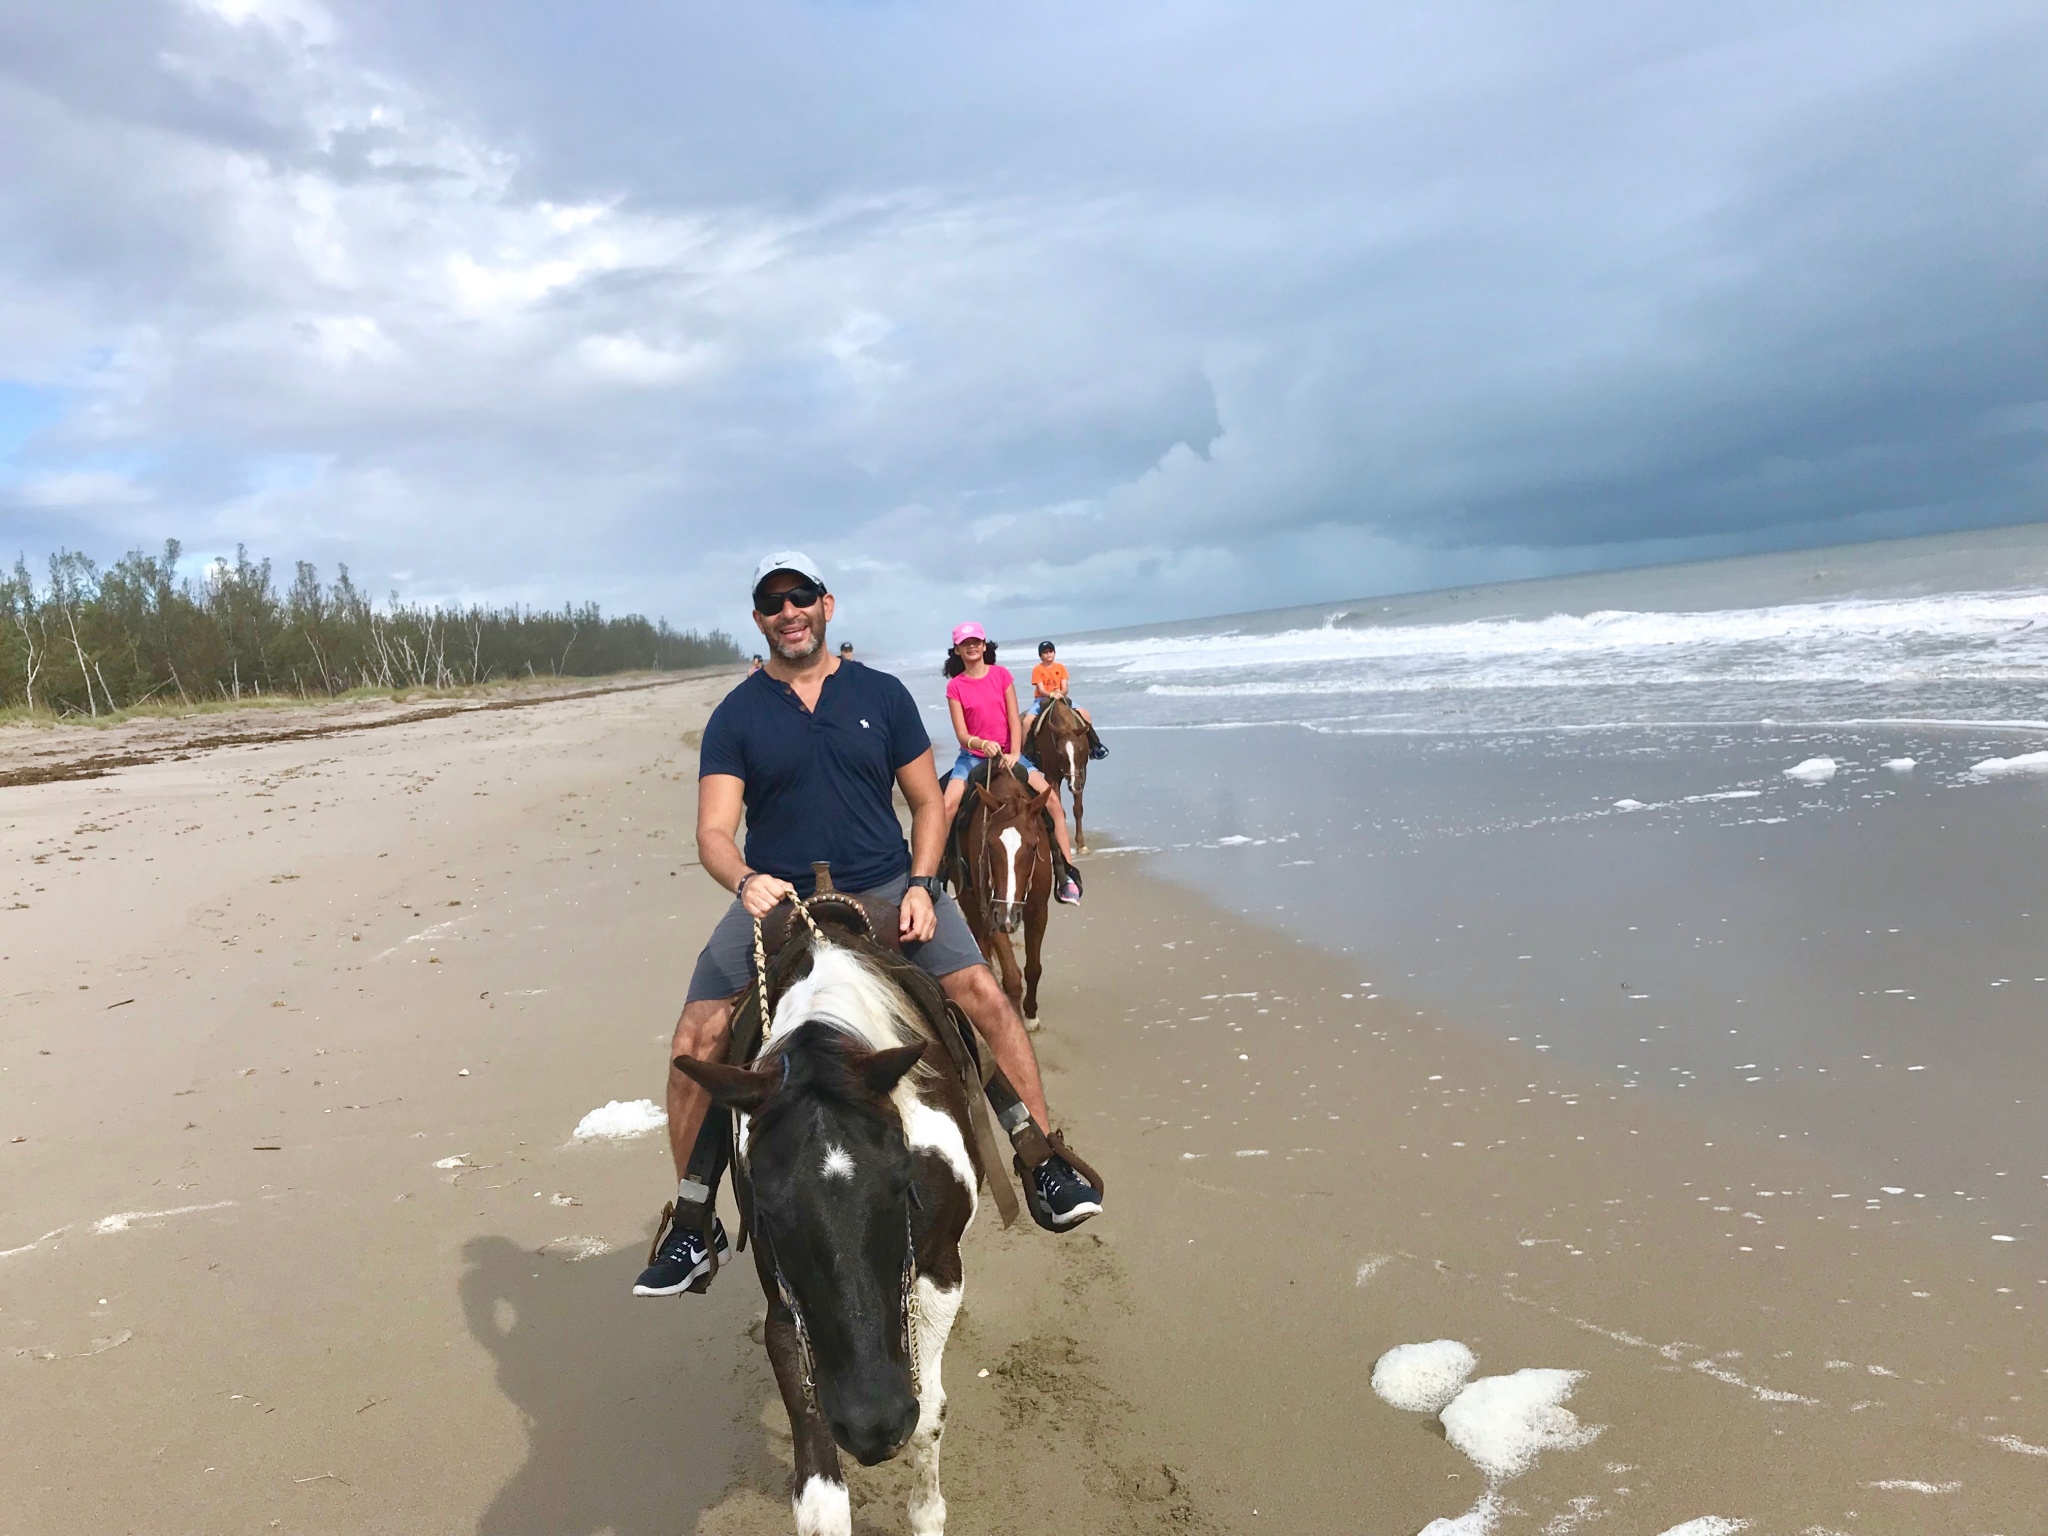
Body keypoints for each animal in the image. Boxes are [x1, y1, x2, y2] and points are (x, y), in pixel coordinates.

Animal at [675, 937, 978, 1536]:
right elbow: (819, 1492)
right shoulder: (788, 1309)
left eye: (903, 1181)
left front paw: (927, 1513)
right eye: (767, 1209)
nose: (874, 1425)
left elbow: (930, 1412)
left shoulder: (939, 1269)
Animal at [937, 765, 1048, 1024]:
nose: (1009, 915)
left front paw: (1030, 1014)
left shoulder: (1039, 911)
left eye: (1033, 847)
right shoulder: (993, 912)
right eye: (989, 845)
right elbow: (1012, 977)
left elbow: (1033, 968)